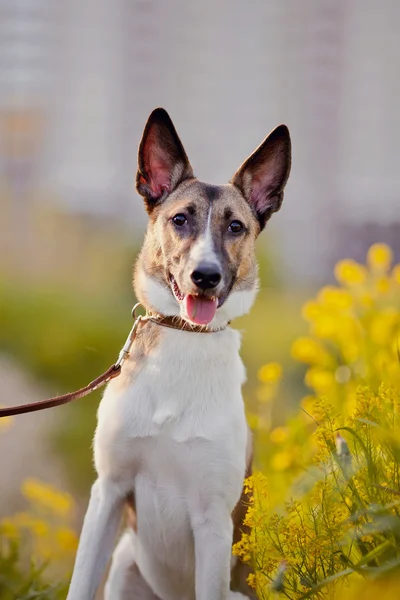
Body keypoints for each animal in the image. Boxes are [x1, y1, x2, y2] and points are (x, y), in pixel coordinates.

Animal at [65, 109, 290, 600]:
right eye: (181, 219)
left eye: (235, 226)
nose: (205, 276)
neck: (186, 336)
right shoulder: (108, 493)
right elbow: (79, 582)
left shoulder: (213, 522)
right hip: (125, 567)